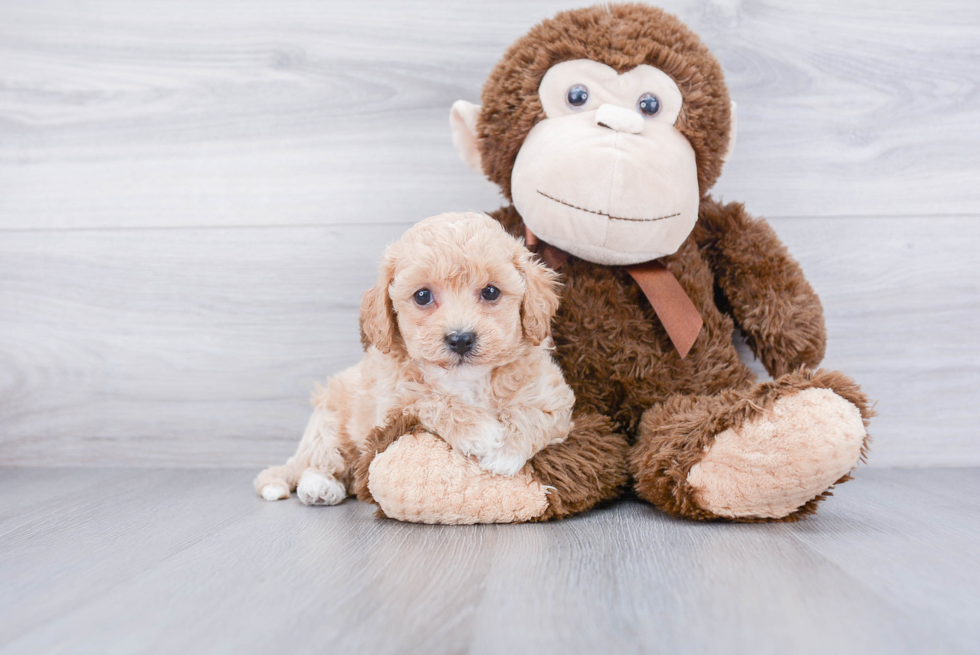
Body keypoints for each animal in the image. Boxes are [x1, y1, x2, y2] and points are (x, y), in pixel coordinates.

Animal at [253, 213, 576, 504]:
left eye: (491, 291)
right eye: (422, 296)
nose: (460, 339)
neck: (467, 380)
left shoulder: (554, 398)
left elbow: (533, 413)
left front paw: (506, 450)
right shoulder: (392, 405)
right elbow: (430, 399)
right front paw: (479, 431)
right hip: (329, 418)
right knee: (320, 460)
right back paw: (320, 487)